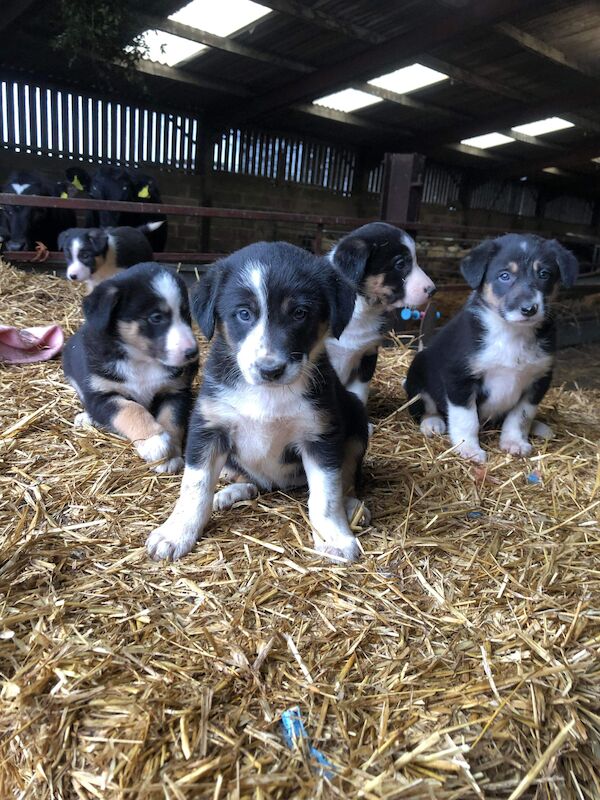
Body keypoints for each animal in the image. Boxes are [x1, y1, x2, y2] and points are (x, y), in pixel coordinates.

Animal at [63, 262, 199, 476]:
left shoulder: (176, 391)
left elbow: (172, 419)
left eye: (186, 314)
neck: (141, 361)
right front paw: (155, 442)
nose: (193, 353)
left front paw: (170, 455)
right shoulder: (101, 396)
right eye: (156, 317)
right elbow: (131, 409)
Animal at [146, 242, 370, 564]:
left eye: (300, 313)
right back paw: (230, 491)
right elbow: (194, 487)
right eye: (243, 314)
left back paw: (351, 505)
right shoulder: (209, 428)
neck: (268, 393)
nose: (270, 370)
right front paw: (175, 533)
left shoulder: (320, 436)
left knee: (348, 473)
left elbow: (326, 497)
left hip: (356, 422)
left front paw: (334, 538)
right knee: (248, 480)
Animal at [406, 234, 580, 462]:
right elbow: (467, 419)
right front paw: (469, 449)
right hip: (418, 370)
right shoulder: (459, 376)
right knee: (424, 404)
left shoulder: (539, 379)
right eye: (504, 276)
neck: (511, 333)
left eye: (544, 274)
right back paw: (432, 422)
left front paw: (515, 442)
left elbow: (521, 416)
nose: (529, 309)